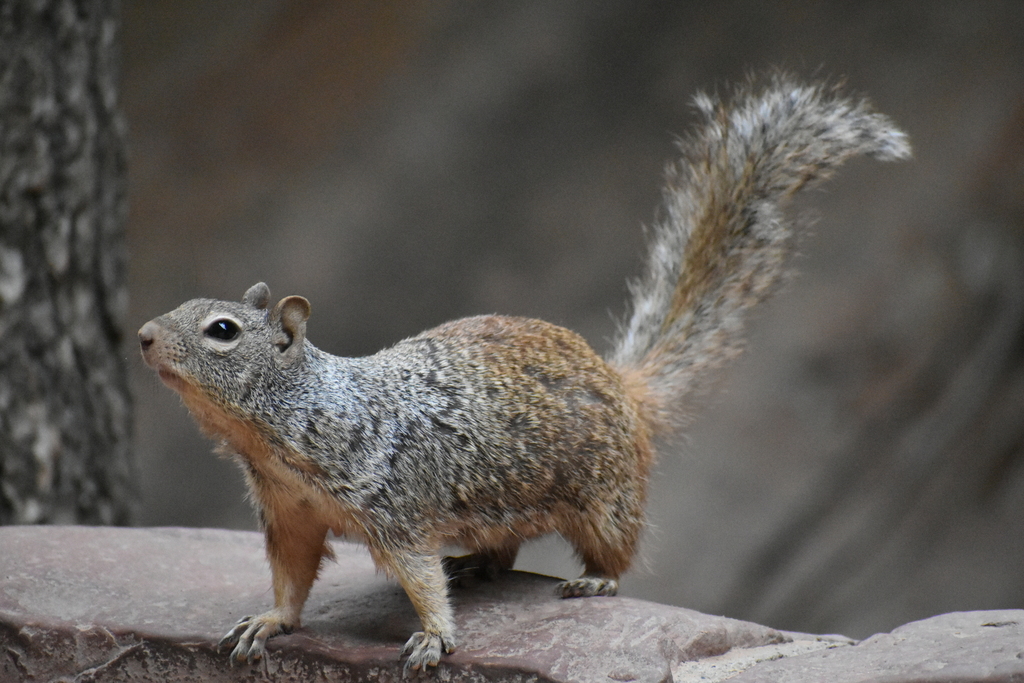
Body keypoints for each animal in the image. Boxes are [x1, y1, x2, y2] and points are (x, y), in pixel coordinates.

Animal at [138, 74, 910, 674]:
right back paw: (480, 564)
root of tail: (623, 386)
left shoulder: (396, 507)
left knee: (618, 551)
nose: (143, 336)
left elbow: (419, 578)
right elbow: (292, 579)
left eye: (222, 330)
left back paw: (593, 581)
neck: (284, 428)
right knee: (504, 549)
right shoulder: (290, 515)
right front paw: (268, 621)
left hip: (605, 496)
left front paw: (434, 636)